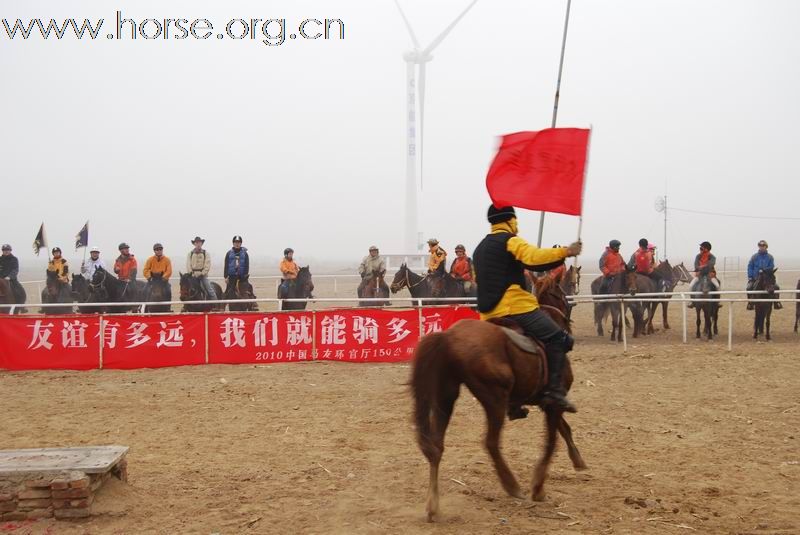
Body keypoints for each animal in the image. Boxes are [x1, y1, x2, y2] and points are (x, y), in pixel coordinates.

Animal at [410, 278, 584, 520]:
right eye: (560, 291)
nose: (569, 312)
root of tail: (448, 337)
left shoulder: (546, 402)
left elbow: (563, 429)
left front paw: (577, 459)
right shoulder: (553, 403)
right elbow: (552, 441)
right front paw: (538, 487)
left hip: (446, 397)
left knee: (436, 446)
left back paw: (433, 505)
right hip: (494, 398)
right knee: (491, 442)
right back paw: (511, 485)